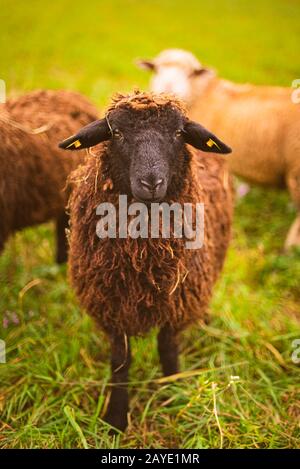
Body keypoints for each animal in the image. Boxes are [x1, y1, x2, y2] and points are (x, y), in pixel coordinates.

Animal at [58, 91, 232, 432]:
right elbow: (120, 361)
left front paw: (174, 391)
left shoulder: (177, 300)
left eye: (178, 133)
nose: (151, 181)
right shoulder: (112, 304)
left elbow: (167, 347)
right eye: (117, 133)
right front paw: (116, 418)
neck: (143, 260)